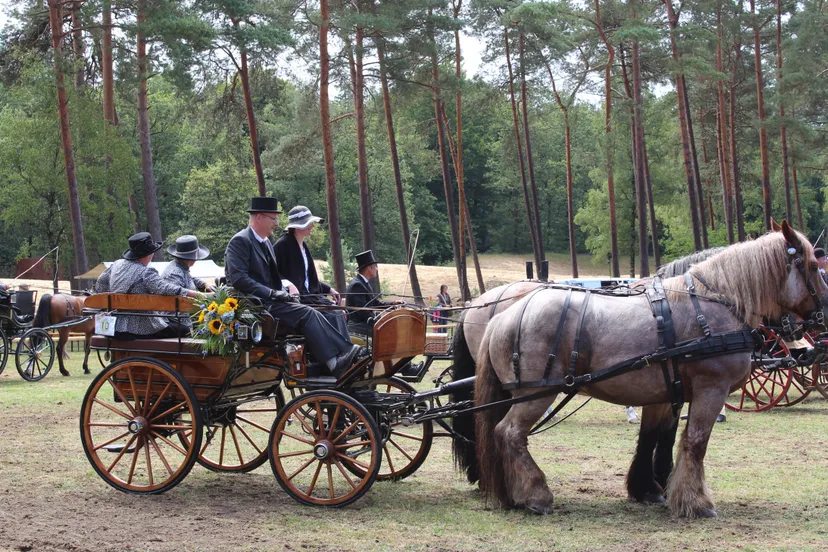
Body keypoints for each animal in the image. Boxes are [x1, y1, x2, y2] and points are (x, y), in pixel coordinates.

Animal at [453, 223, 827, 518]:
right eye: (813, 265)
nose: (819, 318)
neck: (714, 301)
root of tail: (502, 315)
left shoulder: (664, 393)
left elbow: (655, 438)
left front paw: (649, 488)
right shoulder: (710, 389)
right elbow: (695, 442)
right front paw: (695, 502)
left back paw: (507, 492)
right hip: (535, 393)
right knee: (509, 433)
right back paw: (535, 494)